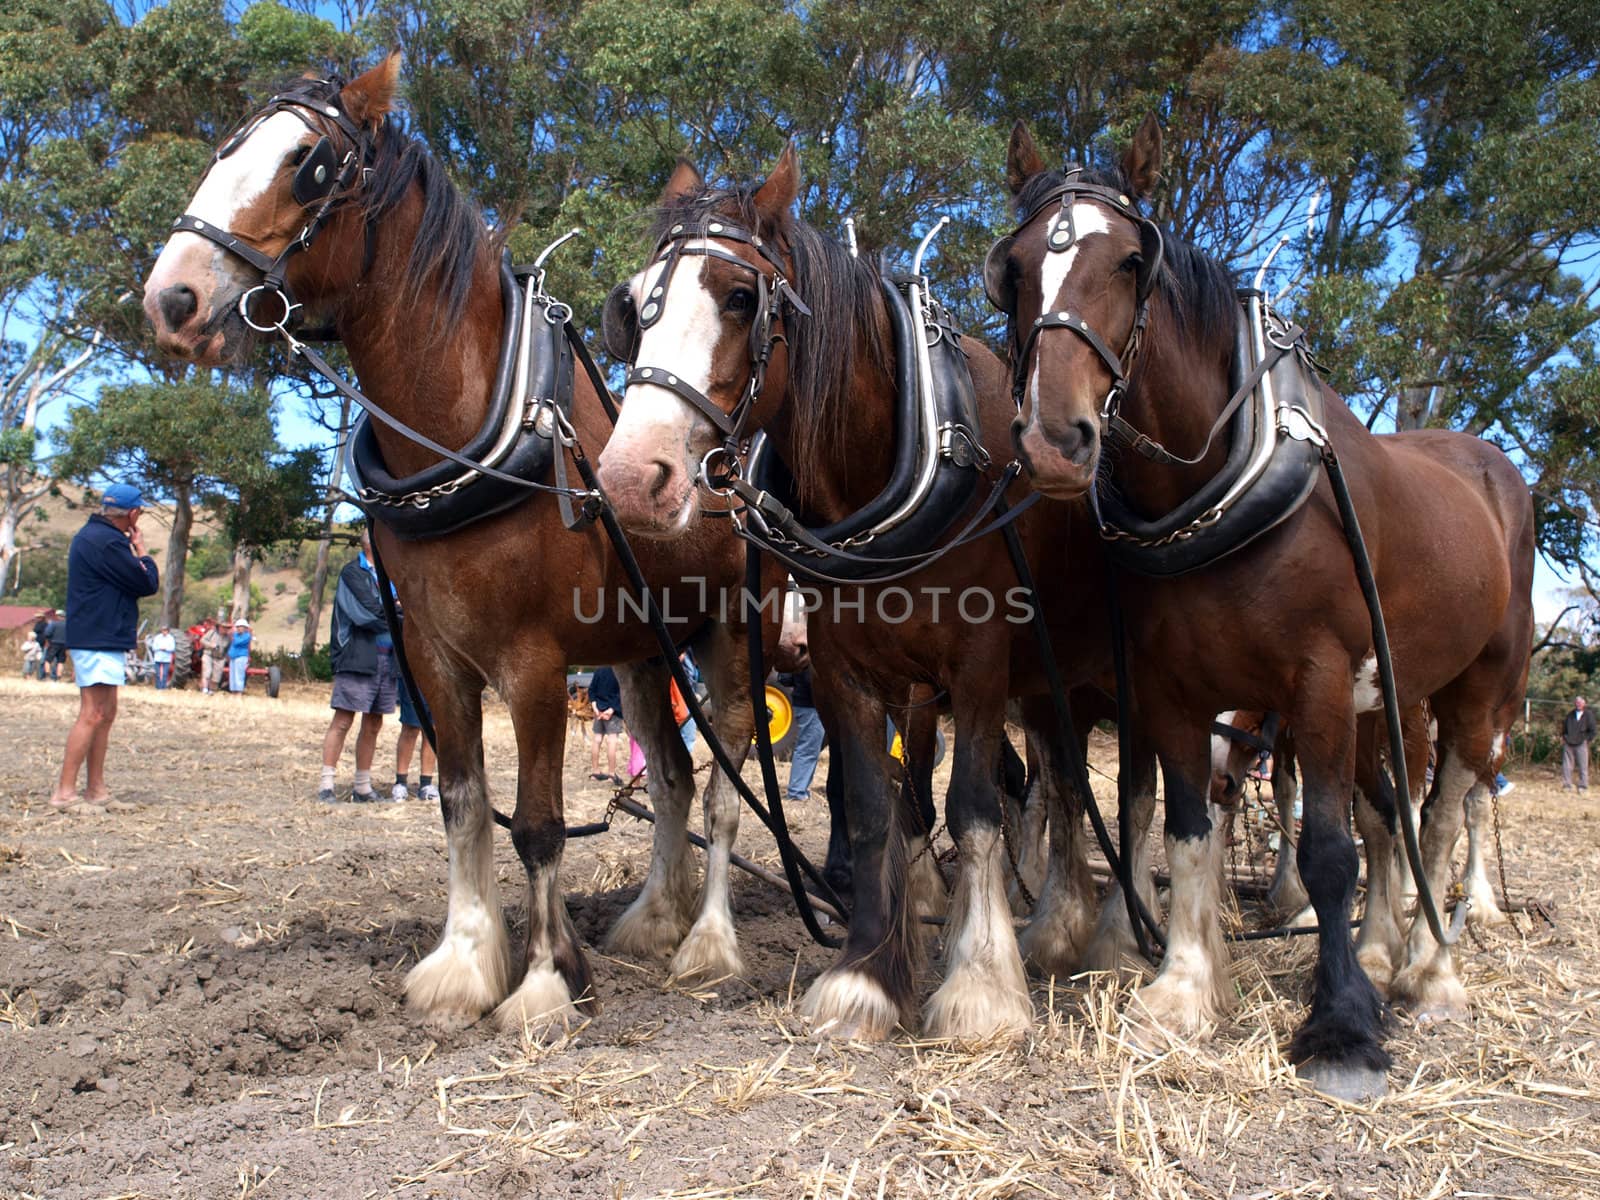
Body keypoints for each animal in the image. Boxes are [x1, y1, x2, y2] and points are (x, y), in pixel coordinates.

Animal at [140, 56, 777, 1036]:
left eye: (307, 166)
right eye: (223, 149)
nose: (171, 297)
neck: (464, 433)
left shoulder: (535, 665)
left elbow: (541, 823)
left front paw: (546, 983)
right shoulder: (437, 657)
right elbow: (463, 803)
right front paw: (466, 964)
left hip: (726, 644)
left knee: (723, 783)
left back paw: (707, 943)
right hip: (640, 655)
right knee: (670, 779)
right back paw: (650, 921)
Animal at [595, 145, 1145, 1036]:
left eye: (741, 297)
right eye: (635, 308)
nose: (628, 479)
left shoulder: (978, 664)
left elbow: (971, 809)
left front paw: (979, 985)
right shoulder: (845, 668)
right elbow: (874, 808)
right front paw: (867, 972)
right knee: (1056, 787)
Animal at [992, 120, 1529, 1100]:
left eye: (1132, 261)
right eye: (1012, 268)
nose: (1055, 439)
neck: (1213, 490)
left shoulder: (1314, 683)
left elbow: (1325, 851)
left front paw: (1344, 1025)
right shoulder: (1168, 693)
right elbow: (1185, 827)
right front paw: (1182, 990)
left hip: (1471, 695)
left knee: (1439, 817)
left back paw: (1429, 970)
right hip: (1382, 706)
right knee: (1388, 816)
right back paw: (1381, 948)